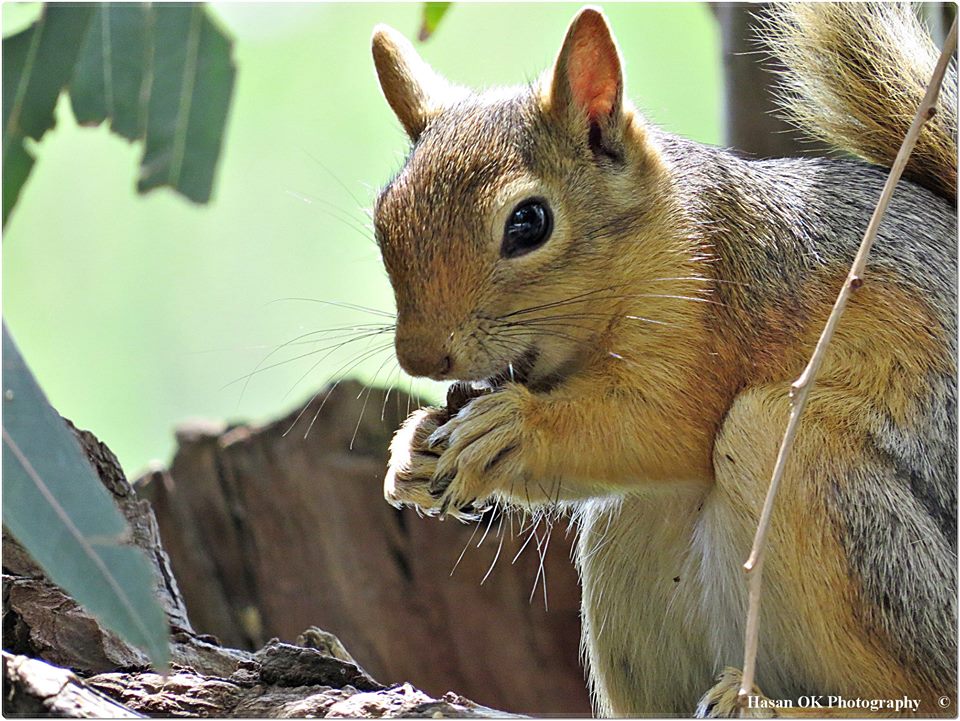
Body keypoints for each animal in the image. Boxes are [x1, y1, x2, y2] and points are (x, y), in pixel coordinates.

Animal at [366, 2, 952, 716]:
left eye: (529, 222)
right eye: (383, 217)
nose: (421, 357)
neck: (656, 232)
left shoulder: (712, 316)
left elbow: (665, 426)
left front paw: (514, 430)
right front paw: (411, 450)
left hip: (838, 506)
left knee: (925, 690)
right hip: (633, 534)